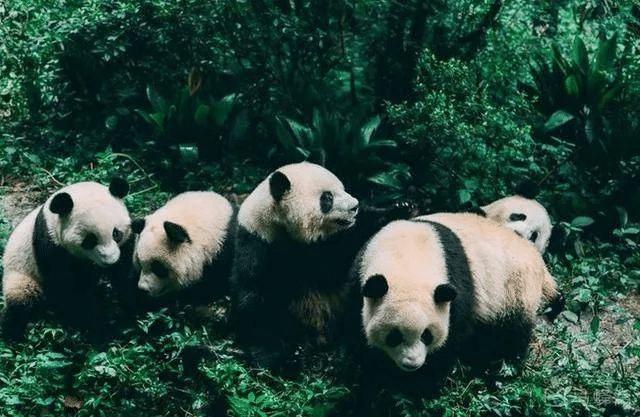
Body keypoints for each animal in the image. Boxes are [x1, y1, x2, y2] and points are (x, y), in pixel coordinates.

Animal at [1, 178, 133, 341]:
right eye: (90, 240)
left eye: (116, 234)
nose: (110, 261)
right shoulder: (52, 245)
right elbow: (70, 289)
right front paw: (105, 329)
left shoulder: (125, 243)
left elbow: (125, 272)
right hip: (22, 273)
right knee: (21, 299)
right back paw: (13, 332)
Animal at [229, 162, 413, 372]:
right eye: (327, 198)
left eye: (342, 187)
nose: (355, 206)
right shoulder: (263, 249)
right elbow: (258, 303)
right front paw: (274, 357)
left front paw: (400, 208)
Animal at [353, 212, 563, 395]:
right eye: (394, 335)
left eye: (426, 335)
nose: (411, 364)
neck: (407, 259)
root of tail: (537, 259)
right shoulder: (359, 275)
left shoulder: (457, 285)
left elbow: (451, 338)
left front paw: (421, 385)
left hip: (513, 290)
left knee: (510, 335)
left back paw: (500, 372)